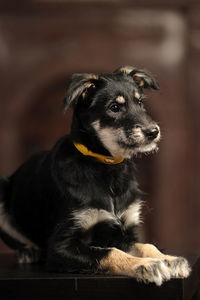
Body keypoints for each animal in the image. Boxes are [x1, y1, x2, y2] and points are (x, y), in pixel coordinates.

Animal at [0, 67, 191, 284]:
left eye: (140, 102)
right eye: (114, 107)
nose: (153, 132)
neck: (107, 167)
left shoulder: (124, 233)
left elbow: (146, 245)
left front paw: (169, 260)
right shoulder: (60, 248)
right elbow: (109, 252)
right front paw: (146, 265)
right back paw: (29, 251)